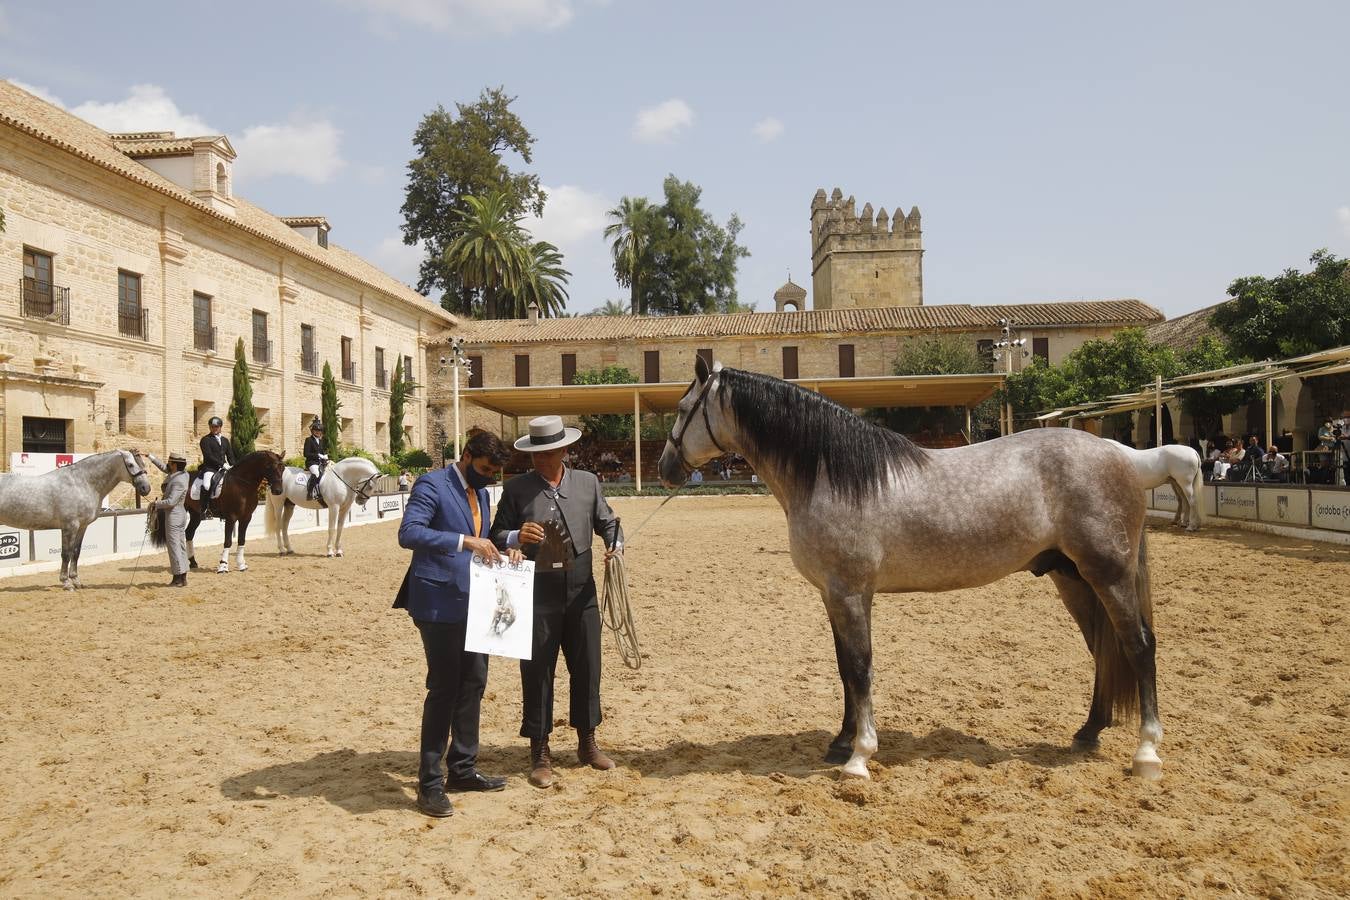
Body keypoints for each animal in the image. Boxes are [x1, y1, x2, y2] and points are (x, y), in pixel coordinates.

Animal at [0, 450, 151, 591]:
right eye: (130, 464)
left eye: (144, 464)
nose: (146, 488)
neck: (82, 483)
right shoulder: (70, 526)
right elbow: (66, 553)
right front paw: (66, 583)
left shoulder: (82, 526)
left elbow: (76, 552)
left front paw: (76, 581)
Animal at [656, 358, 1161, 782]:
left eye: (682, 409)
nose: (664, 468)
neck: (831, 476)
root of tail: (1120, 455)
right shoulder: (833, 595)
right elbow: (845, 668)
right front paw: (841, 743)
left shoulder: (850, 593)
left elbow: (860, 668)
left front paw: (860, 756)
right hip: (1072, 578)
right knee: (1102, 649)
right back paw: (1088, 732)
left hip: (1109, 574)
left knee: (1138, 646)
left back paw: (1147, 753)